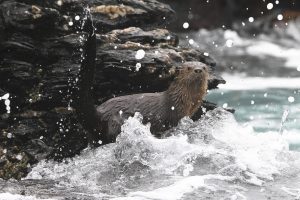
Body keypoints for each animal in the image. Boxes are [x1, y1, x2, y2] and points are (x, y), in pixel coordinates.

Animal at [75, 23, 209, 146]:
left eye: (204, 67)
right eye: (189, 68)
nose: (198, 70)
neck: (179, 101)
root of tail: (99, 113)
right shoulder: (172, 117)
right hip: (116, 121)